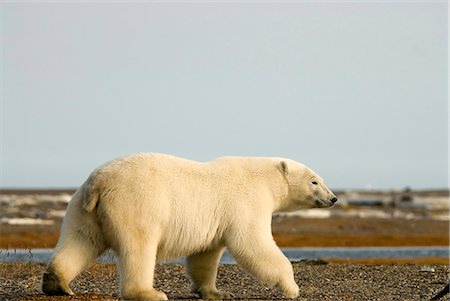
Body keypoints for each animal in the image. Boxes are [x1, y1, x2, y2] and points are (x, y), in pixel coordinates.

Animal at [42, 154, 338, 298]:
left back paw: (56, 283)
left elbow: (205, 255)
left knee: (79, 241)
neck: (264, 178)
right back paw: (149, 293)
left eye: (322, 179)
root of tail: (99, 183)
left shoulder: (216, 218)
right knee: (139, 247)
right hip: (136, 204)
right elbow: (254, 243)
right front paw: (293, 288)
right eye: (314, 181)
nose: (333, 198)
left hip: (83, 209)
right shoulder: (246, 202)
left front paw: (215, 292)